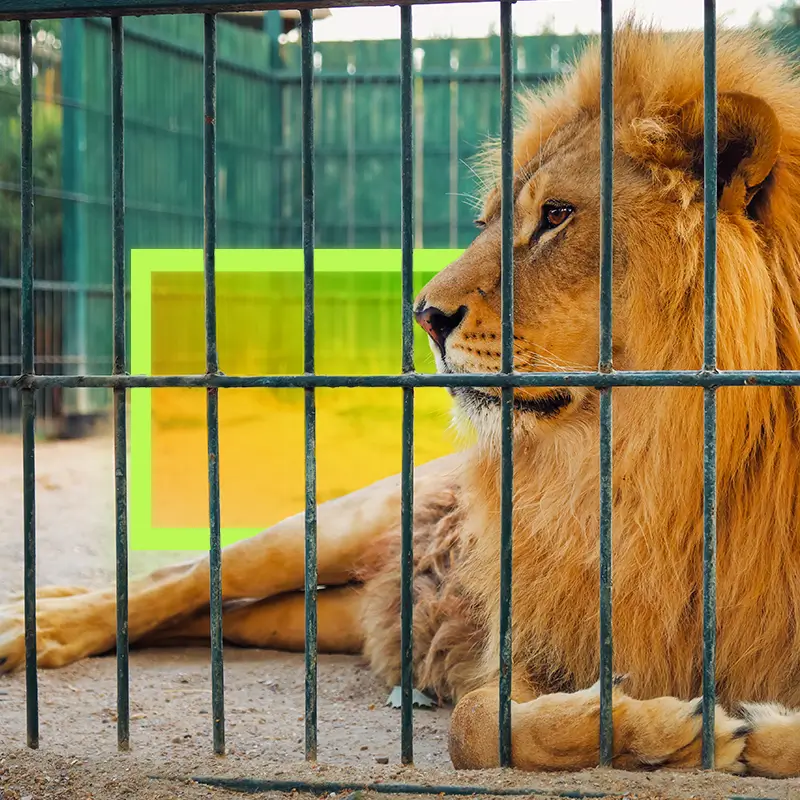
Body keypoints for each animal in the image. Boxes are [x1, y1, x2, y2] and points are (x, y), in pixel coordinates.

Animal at [3, 21, 800, 779]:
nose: (425, 315)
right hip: (341, 519)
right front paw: (673, 728)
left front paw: (751, 729)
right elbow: (474, 725)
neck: (656, 466)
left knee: (226, 614)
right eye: (489, 221)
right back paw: (32, 628)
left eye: (557, 215)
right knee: (187, 577)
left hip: (326, 612)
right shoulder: (532, 631)